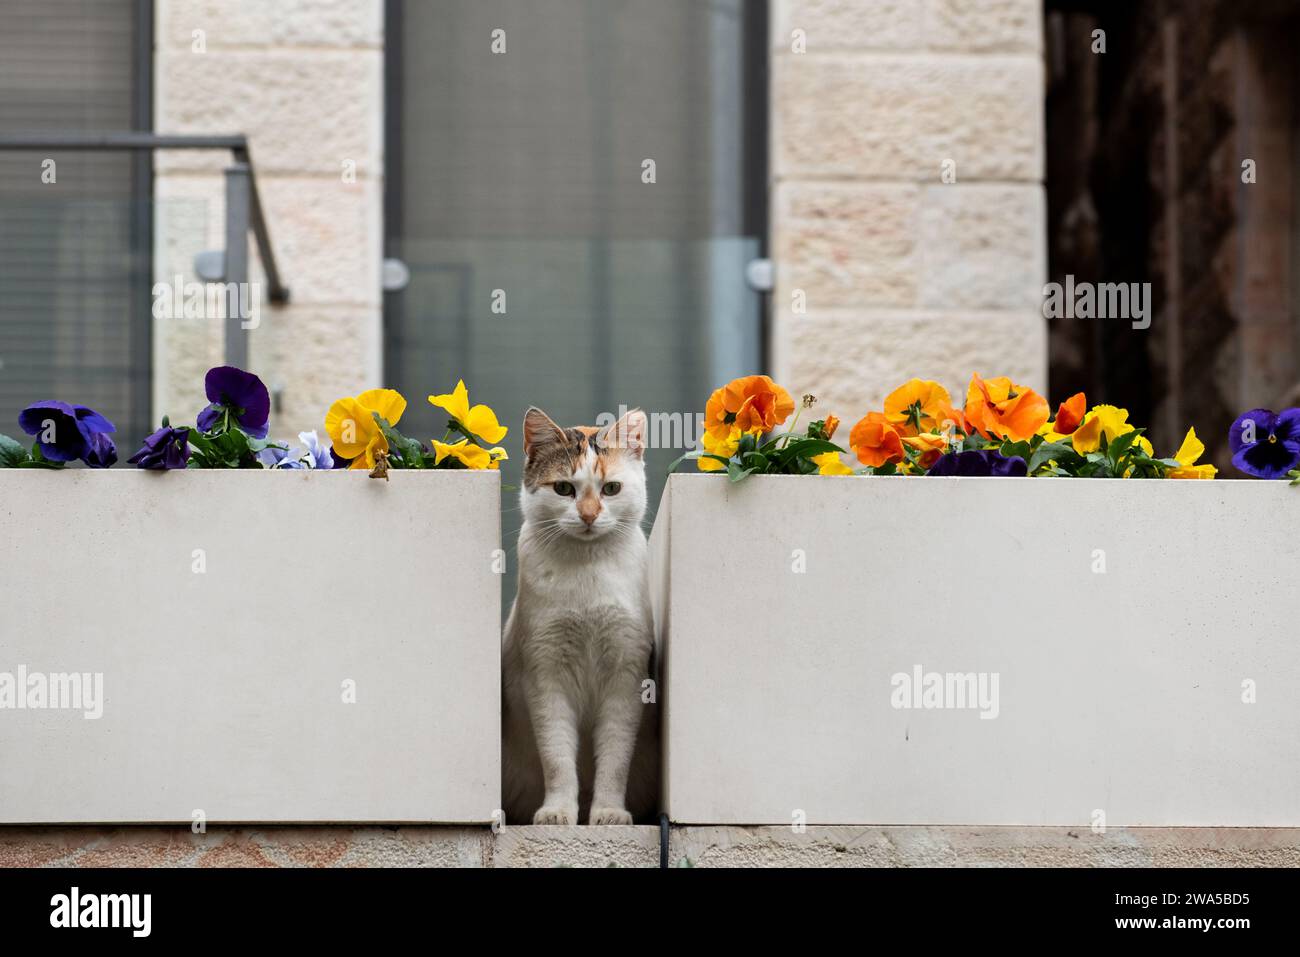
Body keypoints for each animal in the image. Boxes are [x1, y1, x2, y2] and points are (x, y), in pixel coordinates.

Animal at [499, 403, 655, 821]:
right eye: (564, 488)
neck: (587, 570)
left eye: (611, 489)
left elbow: (615, 758)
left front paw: (608, 813)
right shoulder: (545, 674)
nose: (587, 515)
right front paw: (557, 812)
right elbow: (556, 757)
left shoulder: (626, 676)